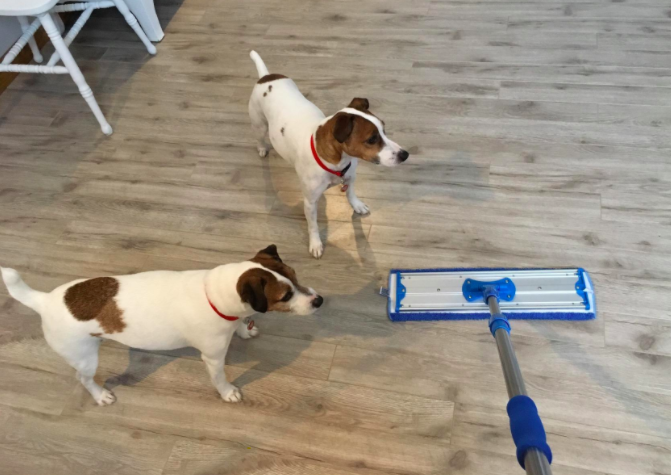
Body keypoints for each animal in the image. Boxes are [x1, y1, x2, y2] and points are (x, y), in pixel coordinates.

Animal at [0, 247, 320, 408]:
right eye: (285, 296)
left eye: (295, 275)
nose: (319, 300)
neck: (213, 294)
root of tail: (44, 300)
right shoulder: (213, 357)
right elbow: (219, 379)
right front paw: (228, 392)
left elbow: (242, 323)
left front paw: (244, 329)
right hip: (84, 357)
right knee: (83, 378)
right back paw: (99, 395)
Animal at [248, 50, 410, 258]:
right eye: (372, 139)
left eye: (384, 129)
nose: (405, 154)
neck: (337, 163)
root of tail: (266, 77)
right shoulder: (310, 202)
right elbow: (313, 225)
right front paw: (316, 244)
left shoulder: (350, 177)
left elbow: (351, 194)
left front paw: (357, 205)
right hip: (259, 124)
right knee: (259, 137)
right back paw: (261, 148)